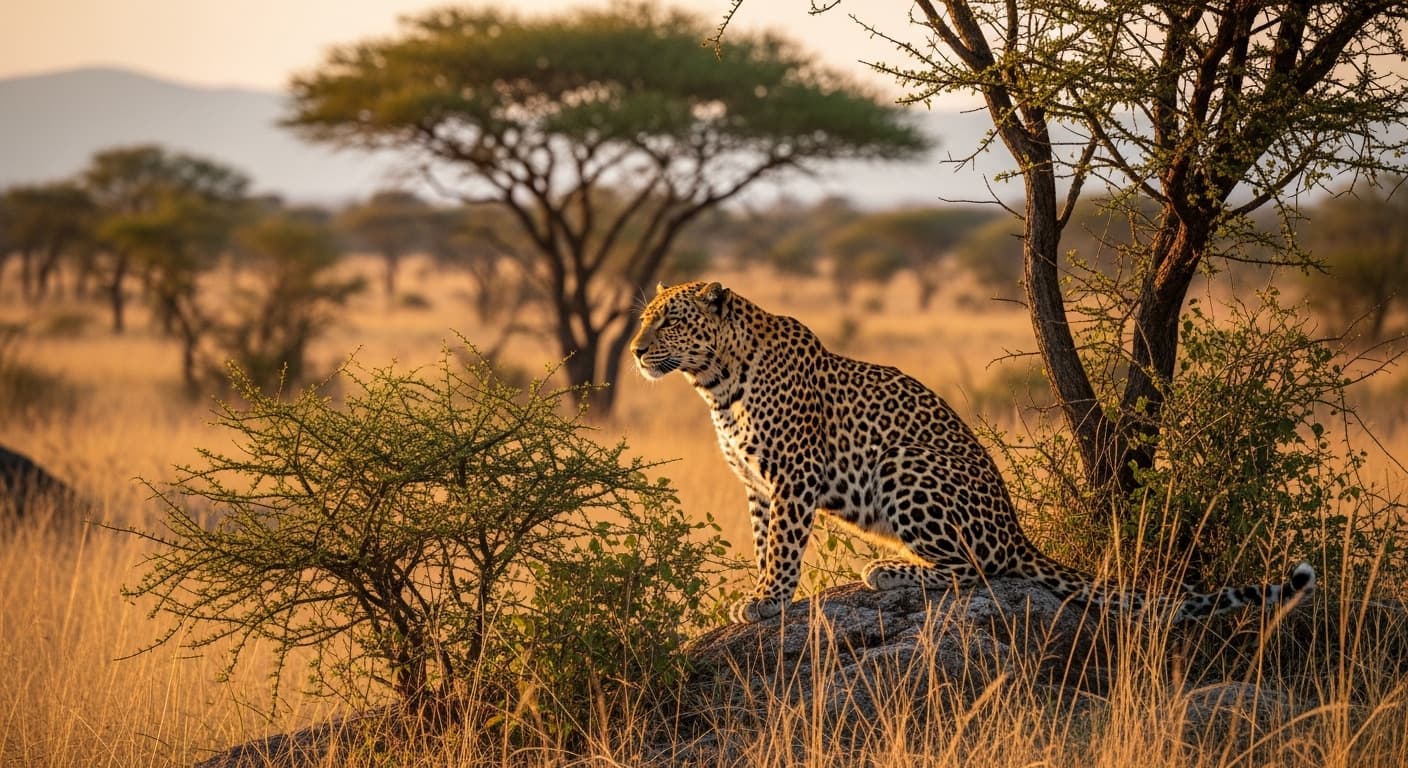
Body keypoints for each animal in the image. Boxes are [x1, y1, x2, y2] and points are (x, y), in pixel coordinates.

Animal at [630, 280, 1316, 624]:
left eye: (670, 320)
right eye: (645, 317)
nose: (635, 350)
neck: (717, 383)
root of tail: (1017, 531)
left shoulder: (794, 478)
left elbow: (782, 547)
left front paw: (769, 600)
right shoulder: (755, 485)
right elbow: (762, 541)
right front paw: (760, 590)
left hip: (906, 465)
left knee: (980, 569)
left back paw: (889, 571)